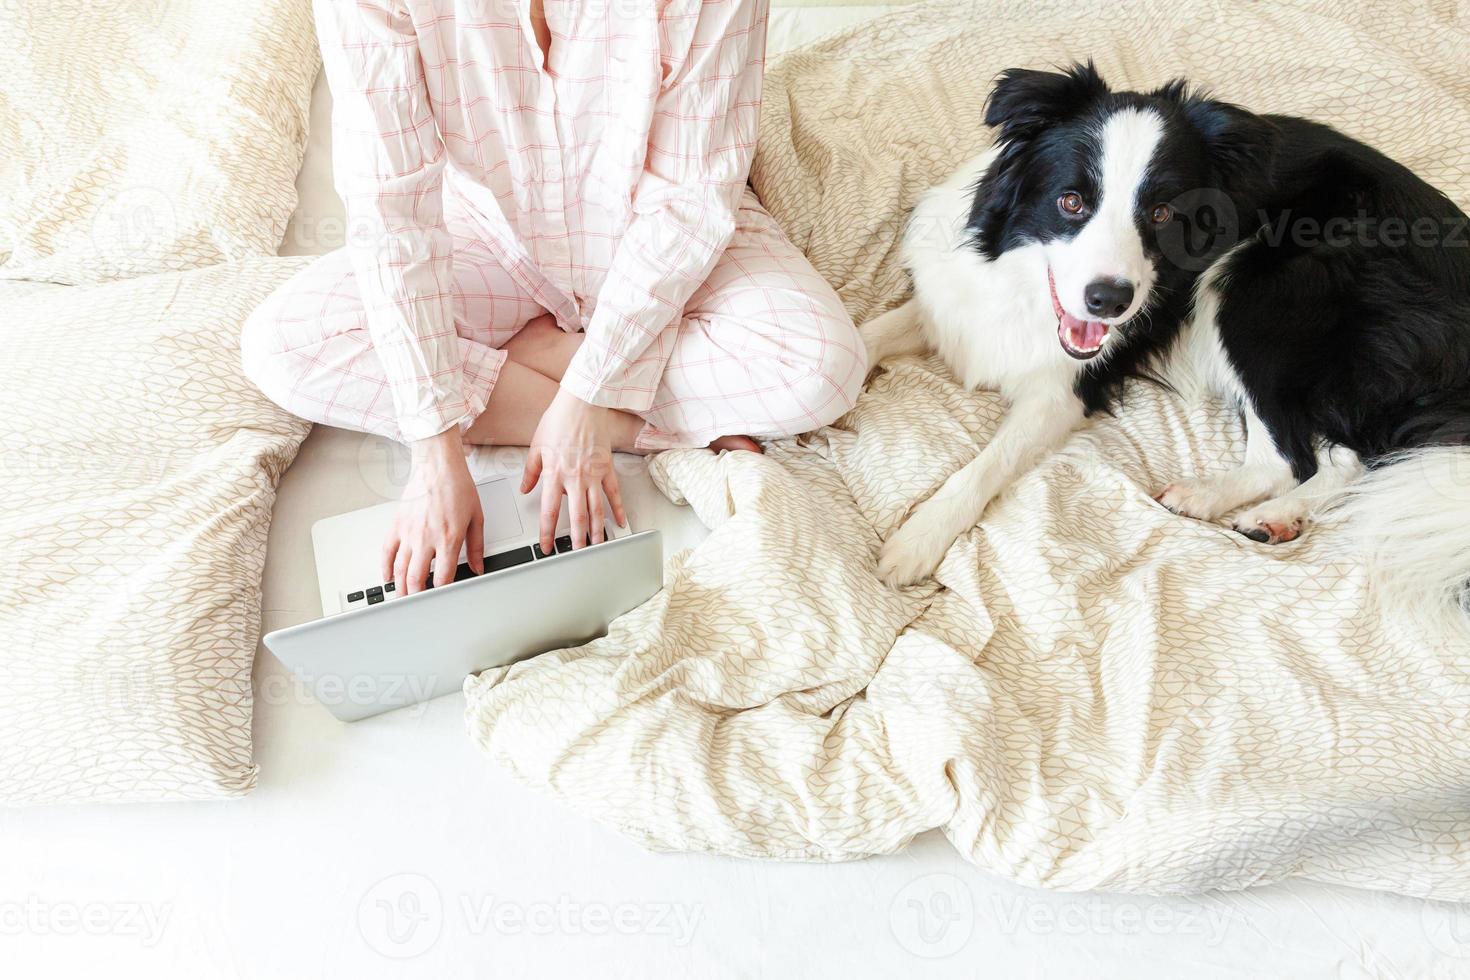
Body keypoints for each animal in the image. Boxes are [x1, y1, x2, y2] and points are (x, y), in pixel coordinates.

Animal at [858, 61, 1470, 628]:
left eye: (1161, 213)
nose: (1109, 300)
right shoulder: (953, 310)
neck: (1022, 282)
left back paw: (1208, 497)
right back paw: (1276, 517)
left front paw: (918, 538)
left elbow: (986, 464)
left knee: (1292, 457)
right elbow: (868, 336)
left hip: (1249, 291)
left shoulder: (1064, 392)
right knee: (1349, 456)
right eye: (1072, 201)